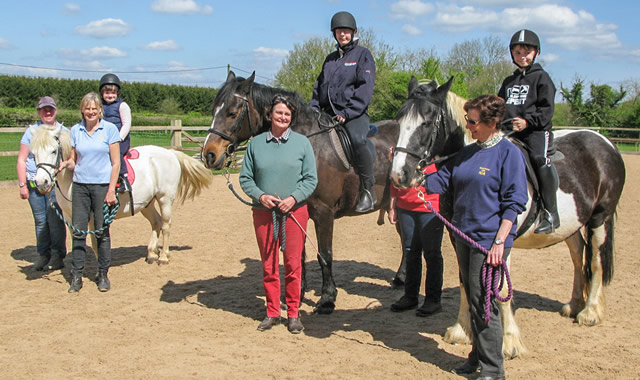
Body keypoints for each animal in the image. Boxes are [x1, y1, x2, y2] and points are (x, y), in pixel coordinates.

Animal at [29, 124, 215, 264]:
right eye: (33, 153)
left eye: (54, 151)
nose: (41, 182)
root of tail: (170, 153)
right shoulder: (70, 217)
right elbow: (78, 241)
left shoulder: (93, 215)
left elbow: (95, 242)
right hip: (146, 203)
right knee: (156, 222)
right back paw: (151, 253)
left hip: (165, 199)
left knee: (166, 225)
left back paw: (163, 256)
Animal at [202, 70, 398, 312]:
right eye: (213, 111)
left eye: (231, 113)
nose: (209, 155)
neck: (309, 146)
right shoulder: (296, 210)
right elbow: (298, 254)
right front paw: (297, 294)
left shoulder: (324, 213)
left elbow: (325, 254)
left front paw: (327, 299)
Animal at [390, 76, 624, 356]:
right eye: (399, 120)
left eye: (426, 122)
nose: (399, 175)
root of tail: (604, 142)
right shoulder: (460, 237)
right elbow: (465, 281)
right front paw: (462, 330)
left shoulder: (501, 241)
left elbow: (501, 288)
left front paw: (510, 342)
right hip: (571, 225)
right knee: (579, 257)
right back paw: (574, 304)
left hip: (601, 218)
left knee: (597, 261)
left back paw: (589, 312)